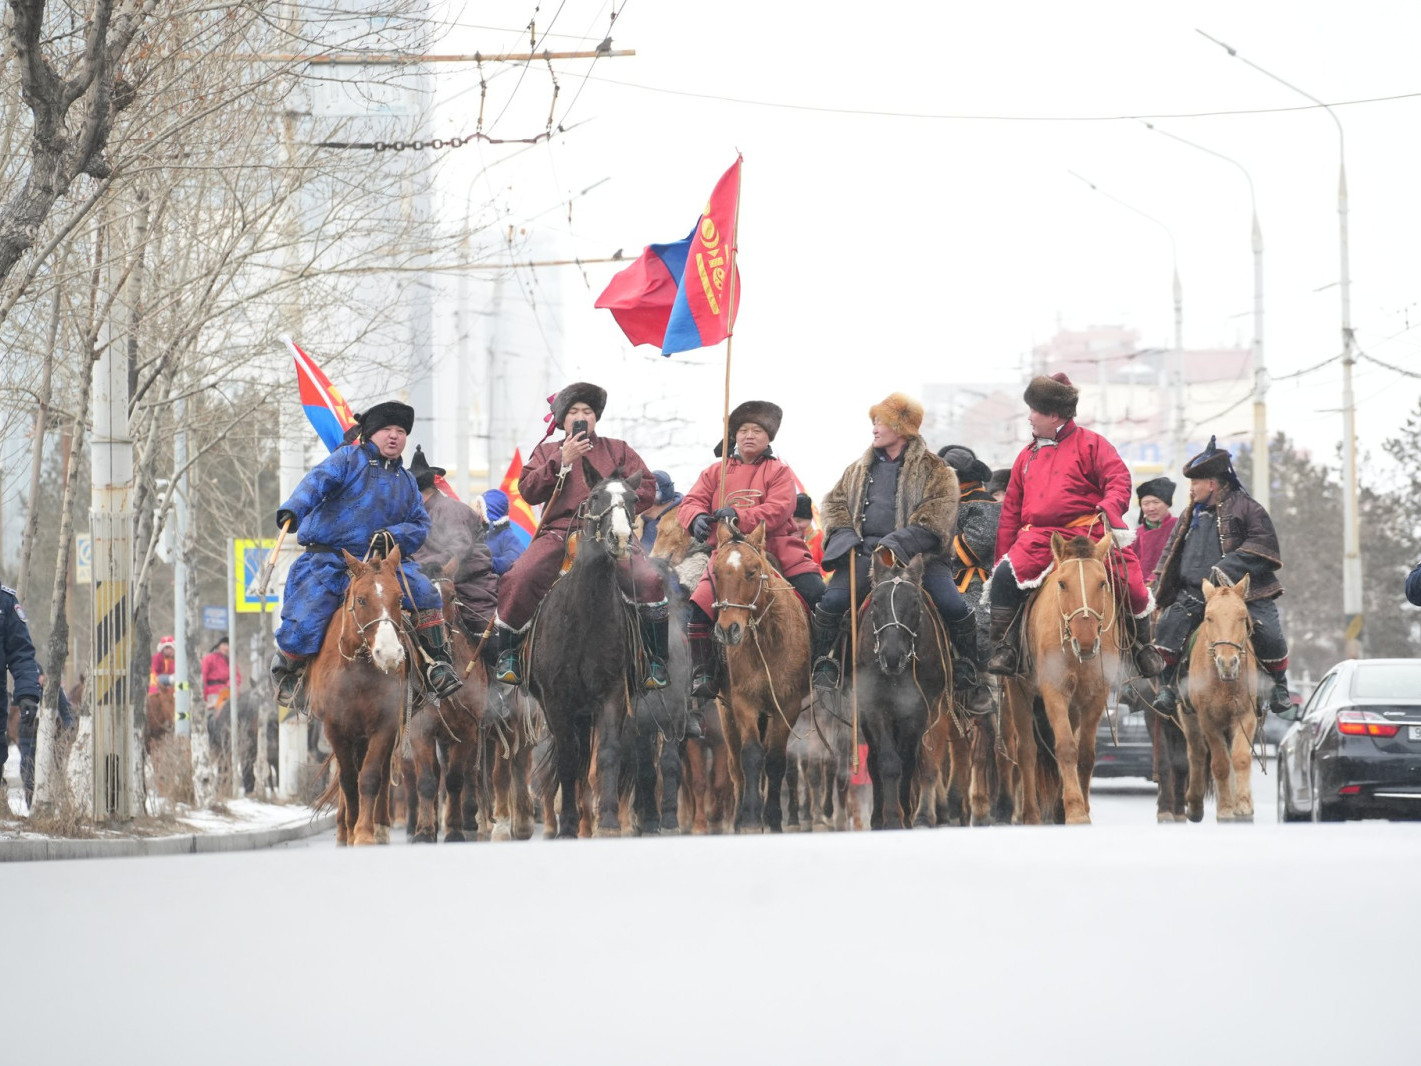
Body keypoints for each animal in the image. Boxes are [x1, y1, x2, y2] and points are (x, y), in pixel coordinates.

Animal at [304, 551, 409, 841]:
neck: (358, 674)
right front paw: (352, 831)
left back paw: (380, 827)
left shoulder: (384, 725)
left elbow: (370, 777)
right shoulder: (335, 729)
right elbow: (349, 781)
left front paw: (364, 833)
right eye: (361, 600)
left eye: (400, 598)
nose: (390, 654)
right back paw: (343, 830)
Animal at [528, 463, 650, 841]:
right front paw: (567, 823)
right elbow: (568, 760)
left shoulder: (612, 694)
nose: (620, 538)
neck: (584, 615)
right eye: (595, 496)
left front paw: (608, 821)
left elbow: (607, 754)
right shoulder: (557, 701)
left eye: (634, 499)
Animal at [1000, 534, 1119, 824]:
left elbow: (1085, 754)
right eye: (1063, 584)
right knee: (1026, 751)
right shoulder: (1054, 691)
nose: (1086, 641)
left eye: (1102, 583)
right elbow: (1065, 747)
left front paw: (1081, 807)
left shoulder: (1096, 695)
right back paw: (1031, 814)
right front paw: (1076, 811)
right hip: (1018, 693)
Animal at [1176, 579, 1256, 824]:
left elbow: (1240, 758)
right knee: (1197, 752)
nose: (1228, 663)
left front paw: (1243, 805)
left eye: (1242, 616)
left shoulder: (1246, 715)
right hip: (1188, 716)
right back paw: (1195, 805)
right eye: (1209, 617)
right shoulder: (1208, 720)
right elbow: (1219, 764)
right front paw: (1226, 809)